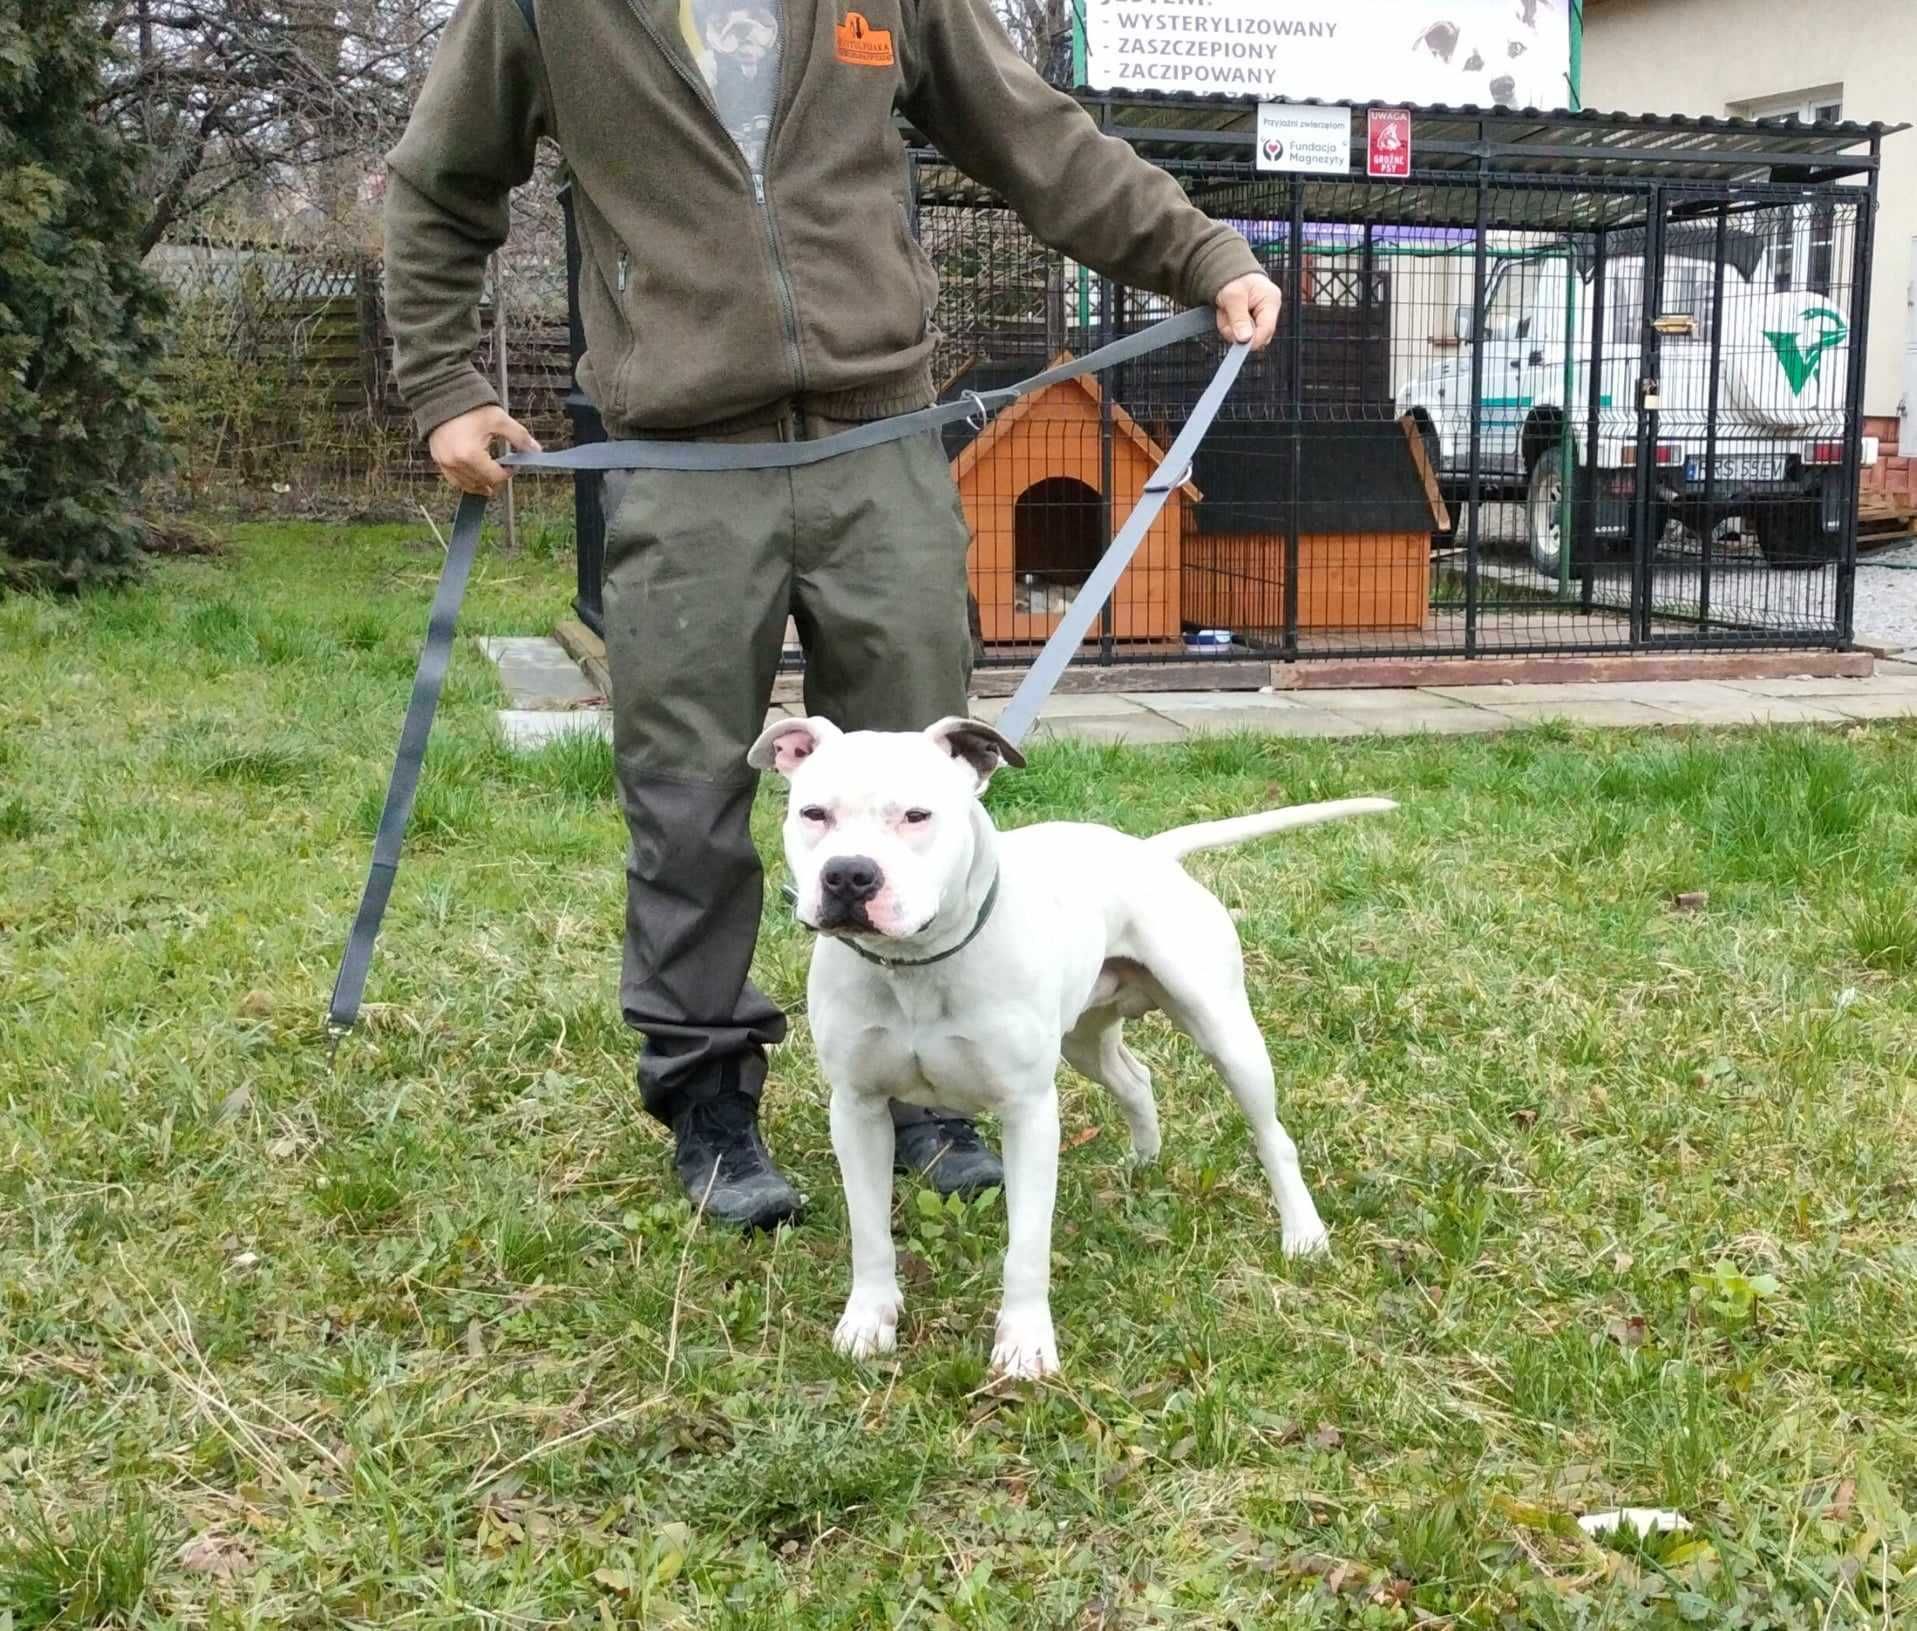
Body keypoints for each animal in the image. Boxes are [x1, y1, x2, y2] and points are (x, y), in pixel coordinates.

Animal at [743, 712, 1395, 1379]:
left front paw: (1025, 1345)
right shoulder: (858, 1110)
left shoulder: (1029, 1113)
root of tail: (1150, 851)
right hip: (1085, 1040)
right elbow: (870, 1233)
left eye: (917, 816)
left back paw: (1303, 1233)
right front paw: (869, 1322)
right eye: (813, 813)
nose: (849, 874)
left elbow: (1027, 1245)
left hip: (1225, 1032)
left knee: (1271, 1135)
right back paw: (1143, 1162)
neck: (915, 966)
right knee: (1135, 1079)